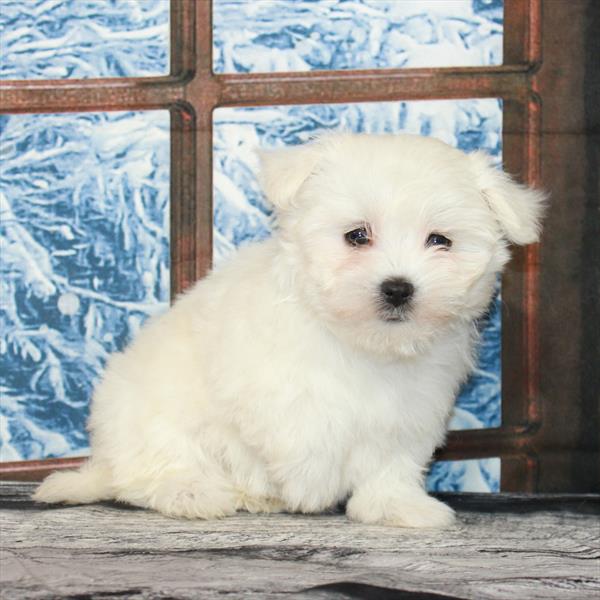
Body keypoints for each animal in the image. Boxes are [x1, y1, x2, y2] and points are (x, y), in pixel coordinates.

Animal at [35, 134, 548, 528]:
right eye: (357, 236)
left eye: (440, 240)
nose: (398, 288)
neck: (362, 342)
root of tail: (105, 459)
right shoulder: (266, 378)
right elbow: (299, 430)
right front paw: (310, 484)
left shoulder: (410, 409)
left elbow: (390, 460)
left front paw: (395, 505)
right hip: (145, 412)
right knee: (152, 469)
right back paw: (194, 492)